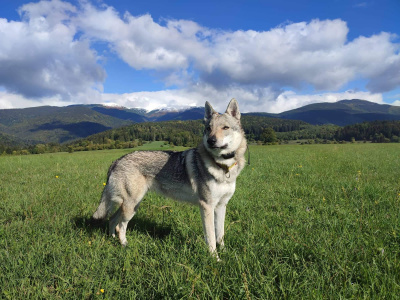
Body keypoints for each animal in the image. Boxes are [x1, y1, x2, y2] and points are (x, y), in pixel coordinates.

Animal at [93, 99, 247, 258]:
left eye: (225, 127)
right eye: (209, 128)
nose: (211, 141)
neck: (223, 166)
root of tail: (116, 161)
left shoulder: (221, 206)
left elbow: (220, 235)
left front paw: (226, 253)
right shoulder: (207, 206)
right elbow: (211, 238)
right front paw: (215, 259)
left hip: (131, 205)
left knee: (112, 220)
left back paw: (112, 239)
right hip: (131, 206)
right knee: (120, 226)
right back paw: (124, 245)